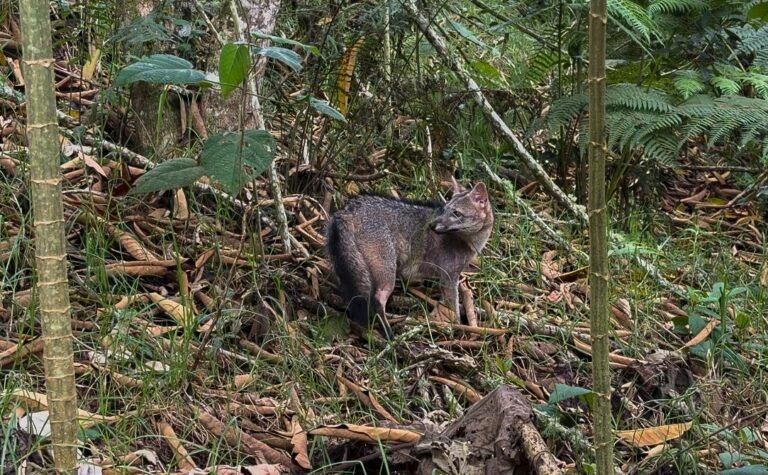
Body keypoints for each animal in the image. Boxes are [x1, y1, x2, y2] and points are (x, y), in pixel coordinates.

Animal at [325, 178, 493, 339]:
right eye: (445, 210)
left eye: (456, 213)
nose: (431, 225)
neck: (469, 242)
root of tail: (349, 209)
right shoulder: (449, 276)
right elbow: (453, 306)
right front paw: (458, 327)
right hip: (387, 274)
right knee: (378, 299)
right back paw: (389, 334)